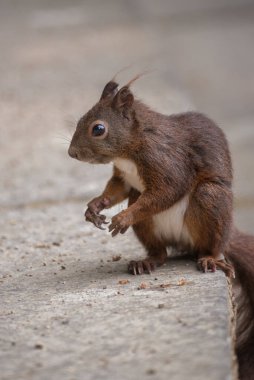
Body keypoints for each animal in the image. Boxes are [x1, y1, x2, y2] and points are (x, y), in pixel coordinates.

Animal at [67, 75, 254, 378]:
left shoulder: (166, 160)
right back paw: (147, 261)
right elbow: (116, 190)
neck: (131, 147)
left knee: (214, 242)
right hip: (151, 227)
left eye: (98, 129)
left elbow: (167, 190)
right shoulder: (124, 178)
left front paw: (123, 218)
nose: (71, 153)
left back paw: (211, 258)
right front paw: (94, 207)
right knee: (160, 251)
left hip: (211, 202)